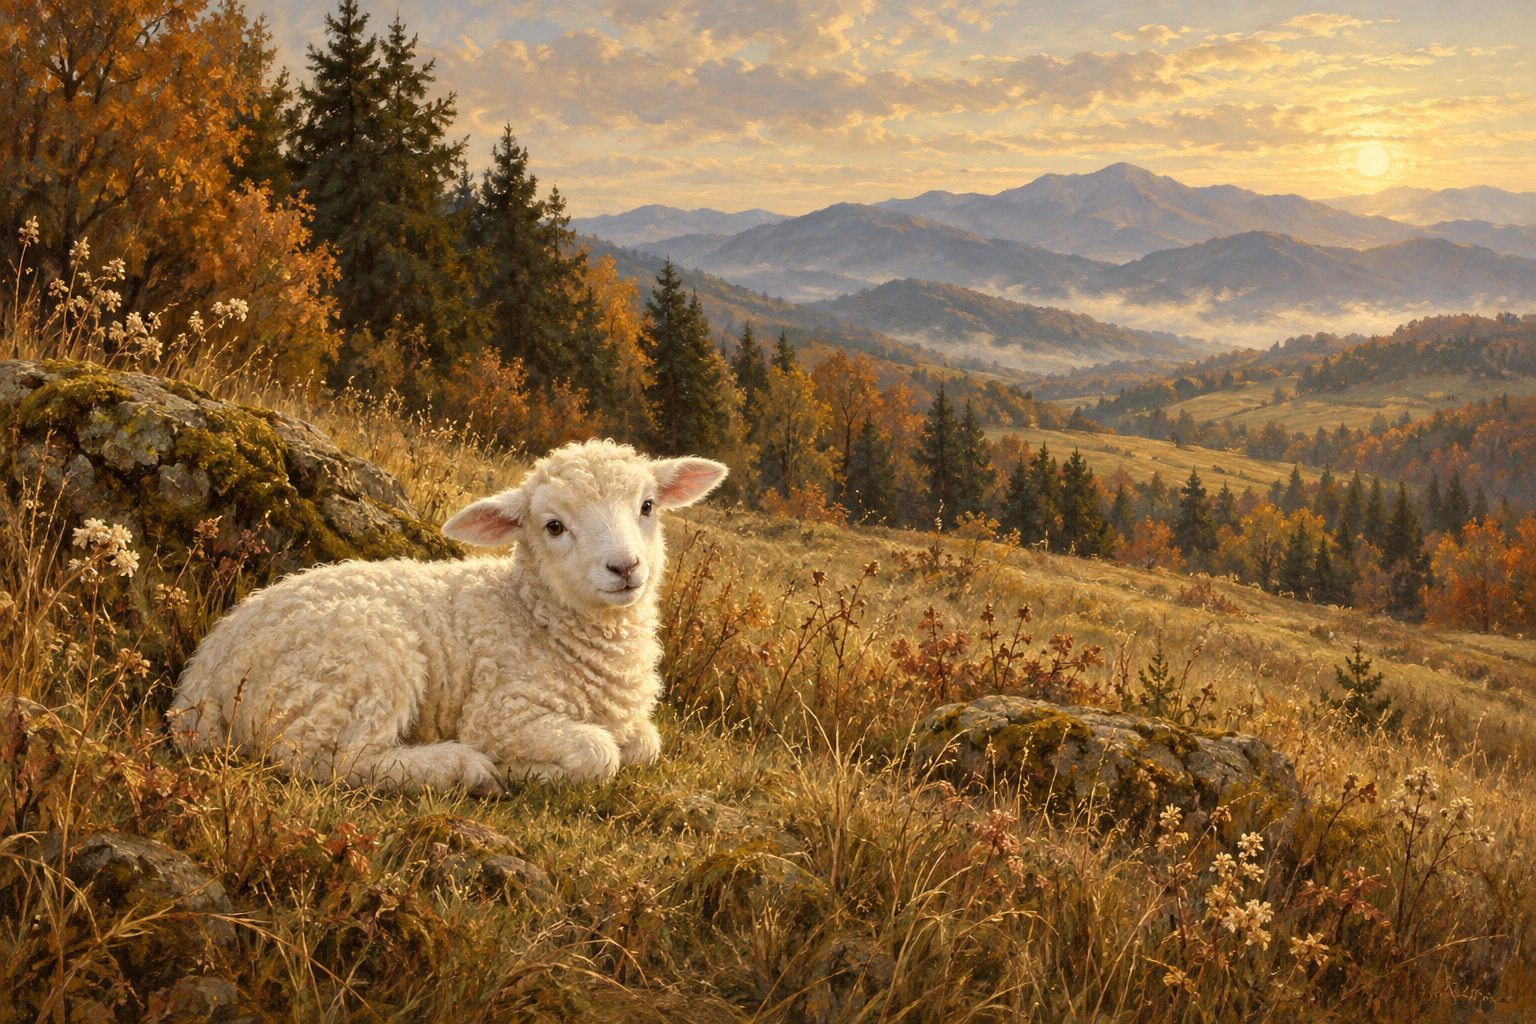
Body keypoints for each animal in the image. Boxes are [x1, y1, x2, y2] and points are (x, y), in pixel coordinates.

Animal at [169, 439, 727, 795]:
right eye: (553, 526)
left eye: (648, 506)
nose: (625, 568)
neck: (535, 617)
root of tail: (200, 681)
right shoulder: (500, 714)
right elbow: (600, 753)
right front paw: (524, 769)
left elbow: (646, 744)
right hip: (360, 662)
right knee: (337, 761)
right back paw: (465, 770)